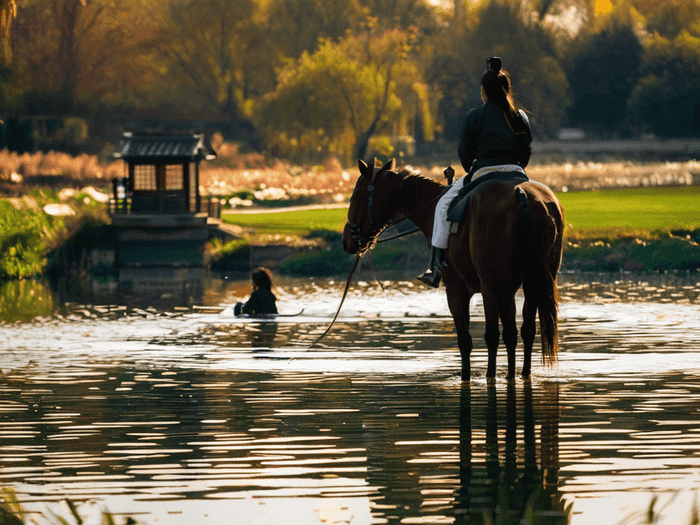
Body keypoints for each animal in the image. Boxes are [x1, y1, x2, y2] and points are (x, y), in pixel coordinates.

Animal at [342, 158, 568, 378]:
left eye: (354, 197)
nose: (346, 241)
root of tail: (523, 197)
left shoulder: (456, 289)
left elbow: (465, 340)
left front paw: (469, 374)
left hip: (495, 286)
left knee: (502, 334)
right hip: (532, 282)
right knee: (525, 331)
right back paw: (522, 373)